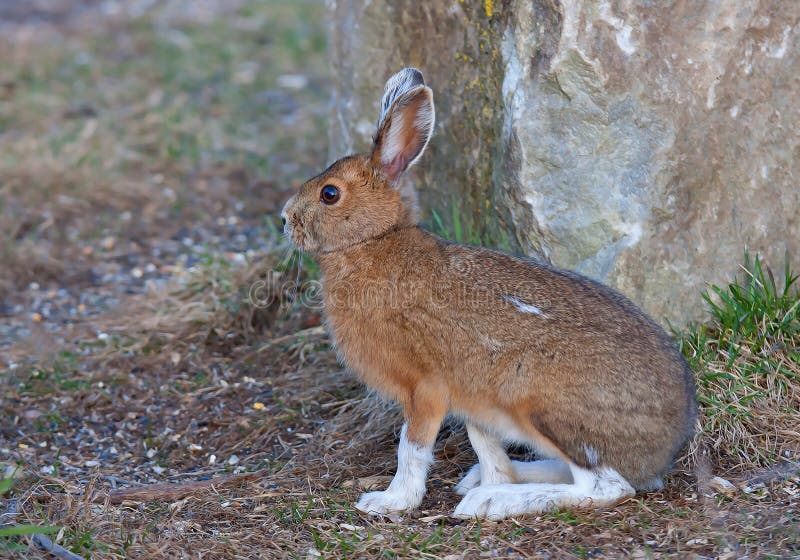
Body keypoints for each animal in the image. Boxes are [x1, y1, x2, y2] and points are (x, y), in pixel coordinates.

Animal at [280, 68, 696, 520]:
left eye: (330, 193)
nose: (284, 219)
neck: (373, 240)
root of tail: (664, 448)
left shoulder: (426, 389)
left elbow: (412, 448)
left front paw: (390, 501)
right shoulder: (471, 400)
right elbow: (486, 446)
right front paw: (494, 477)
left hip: (539, 404)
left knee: (606, 485)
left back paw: (492, 501)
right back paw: (488, 483)